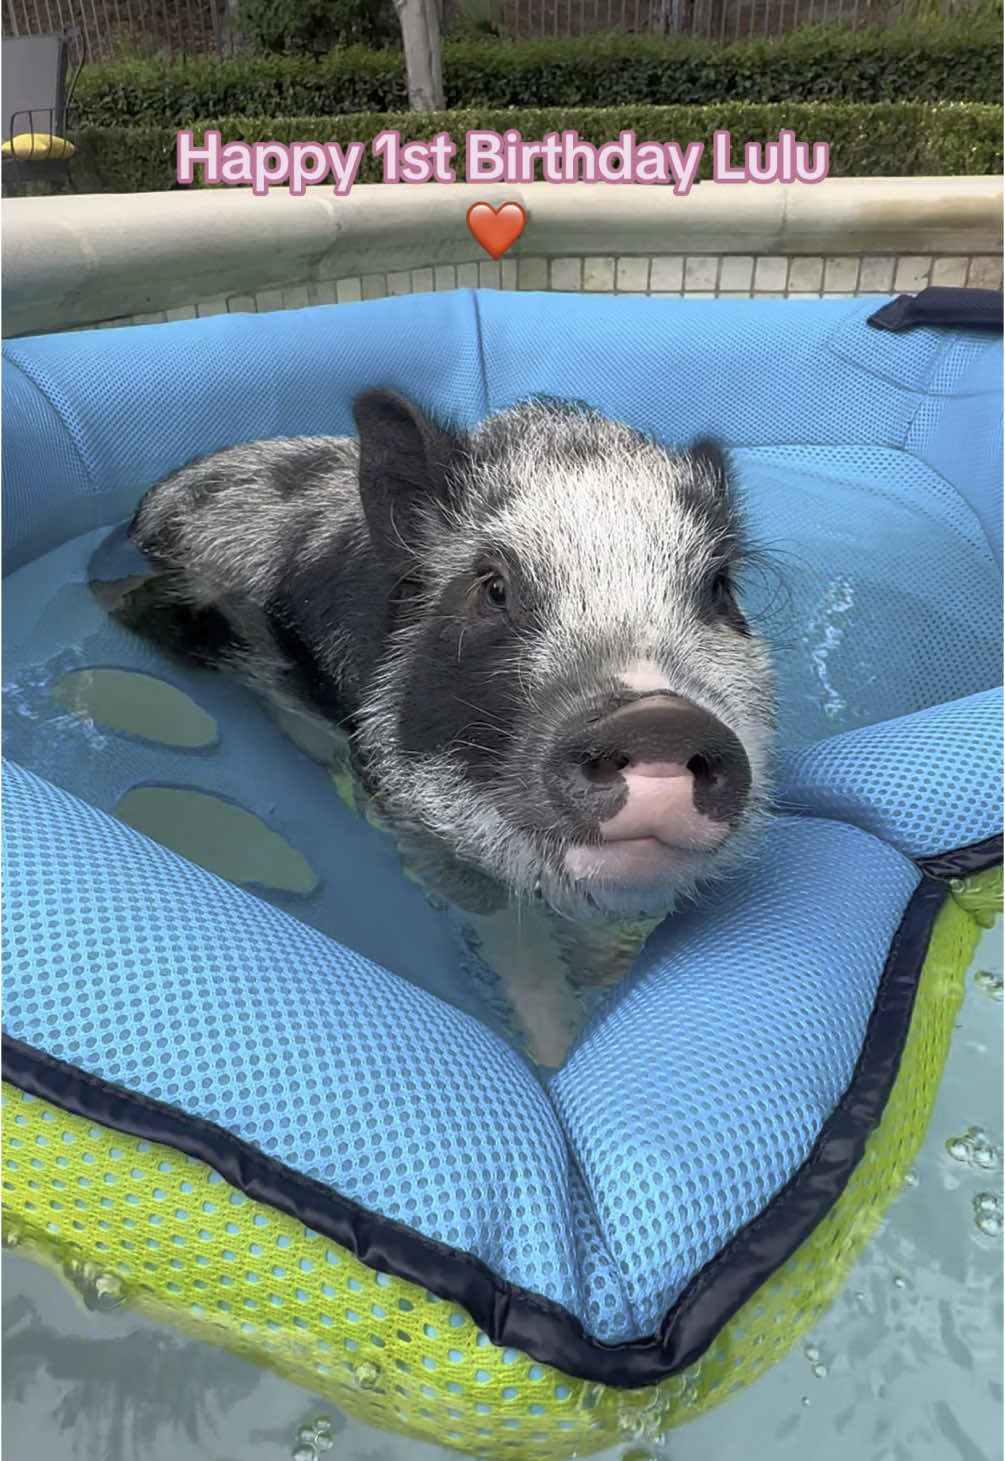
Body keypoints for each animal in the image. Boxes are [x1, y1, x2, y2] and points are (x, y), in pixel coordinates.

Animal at [93, 390, 775, 1061]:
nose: (660, 720)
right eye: (493, 588)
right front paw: (550, 1054)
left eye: (719, 587)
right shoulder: (414, 822)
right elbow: (509, 942)